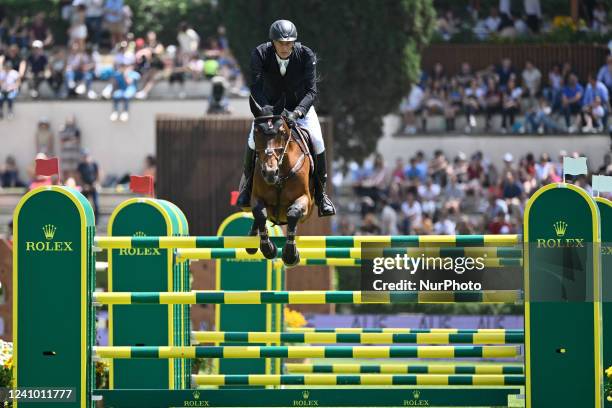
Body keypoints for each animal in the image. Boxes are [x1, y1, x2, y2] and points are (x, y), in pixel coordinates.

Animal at [246, 97, 314, 266]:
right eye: (256, 133)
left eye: (282, 132)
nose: (270, 172)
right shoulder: (256, 197)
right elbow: (260, 213)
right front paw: (268, 248)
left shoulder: (306, 200)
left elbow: (293, 213)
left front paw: (290, 254)